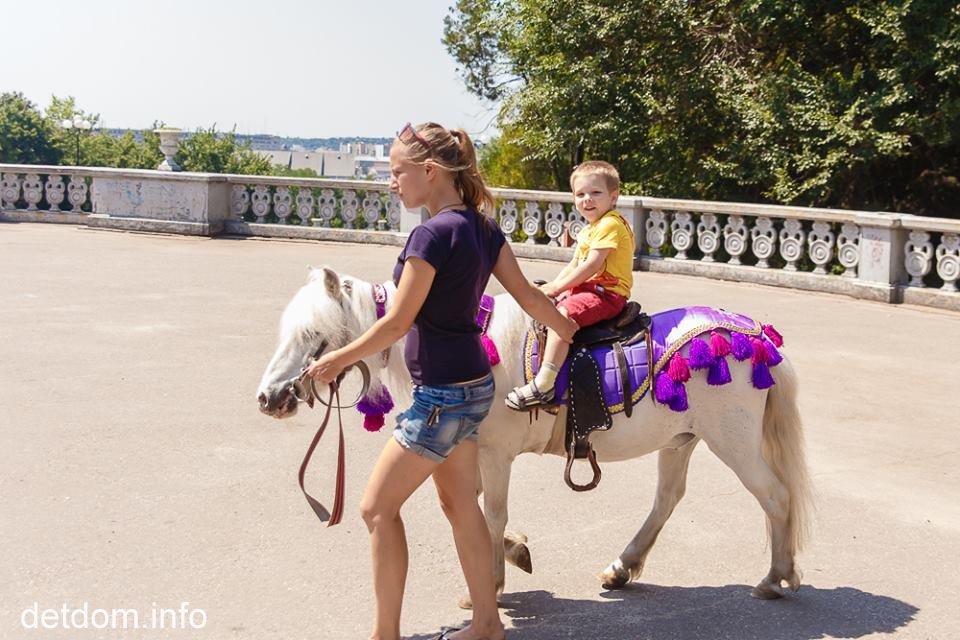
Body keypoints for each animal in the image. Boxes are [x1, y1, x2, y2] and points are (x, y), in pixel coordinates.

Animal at [257, 265, 813, 602]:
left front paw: (490, 583)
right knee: (667, 499)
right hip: (681, 441)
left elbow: (490, 512)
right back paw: (622, 566)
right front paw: (512, 552)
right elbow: (475, 509)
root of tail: (758, 336)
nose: (268, 398)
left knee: (776, 497)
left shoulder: (496, 452)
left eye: (313, 336)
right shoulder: (470, 448)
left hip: (733, 440)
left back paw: (776, 577)